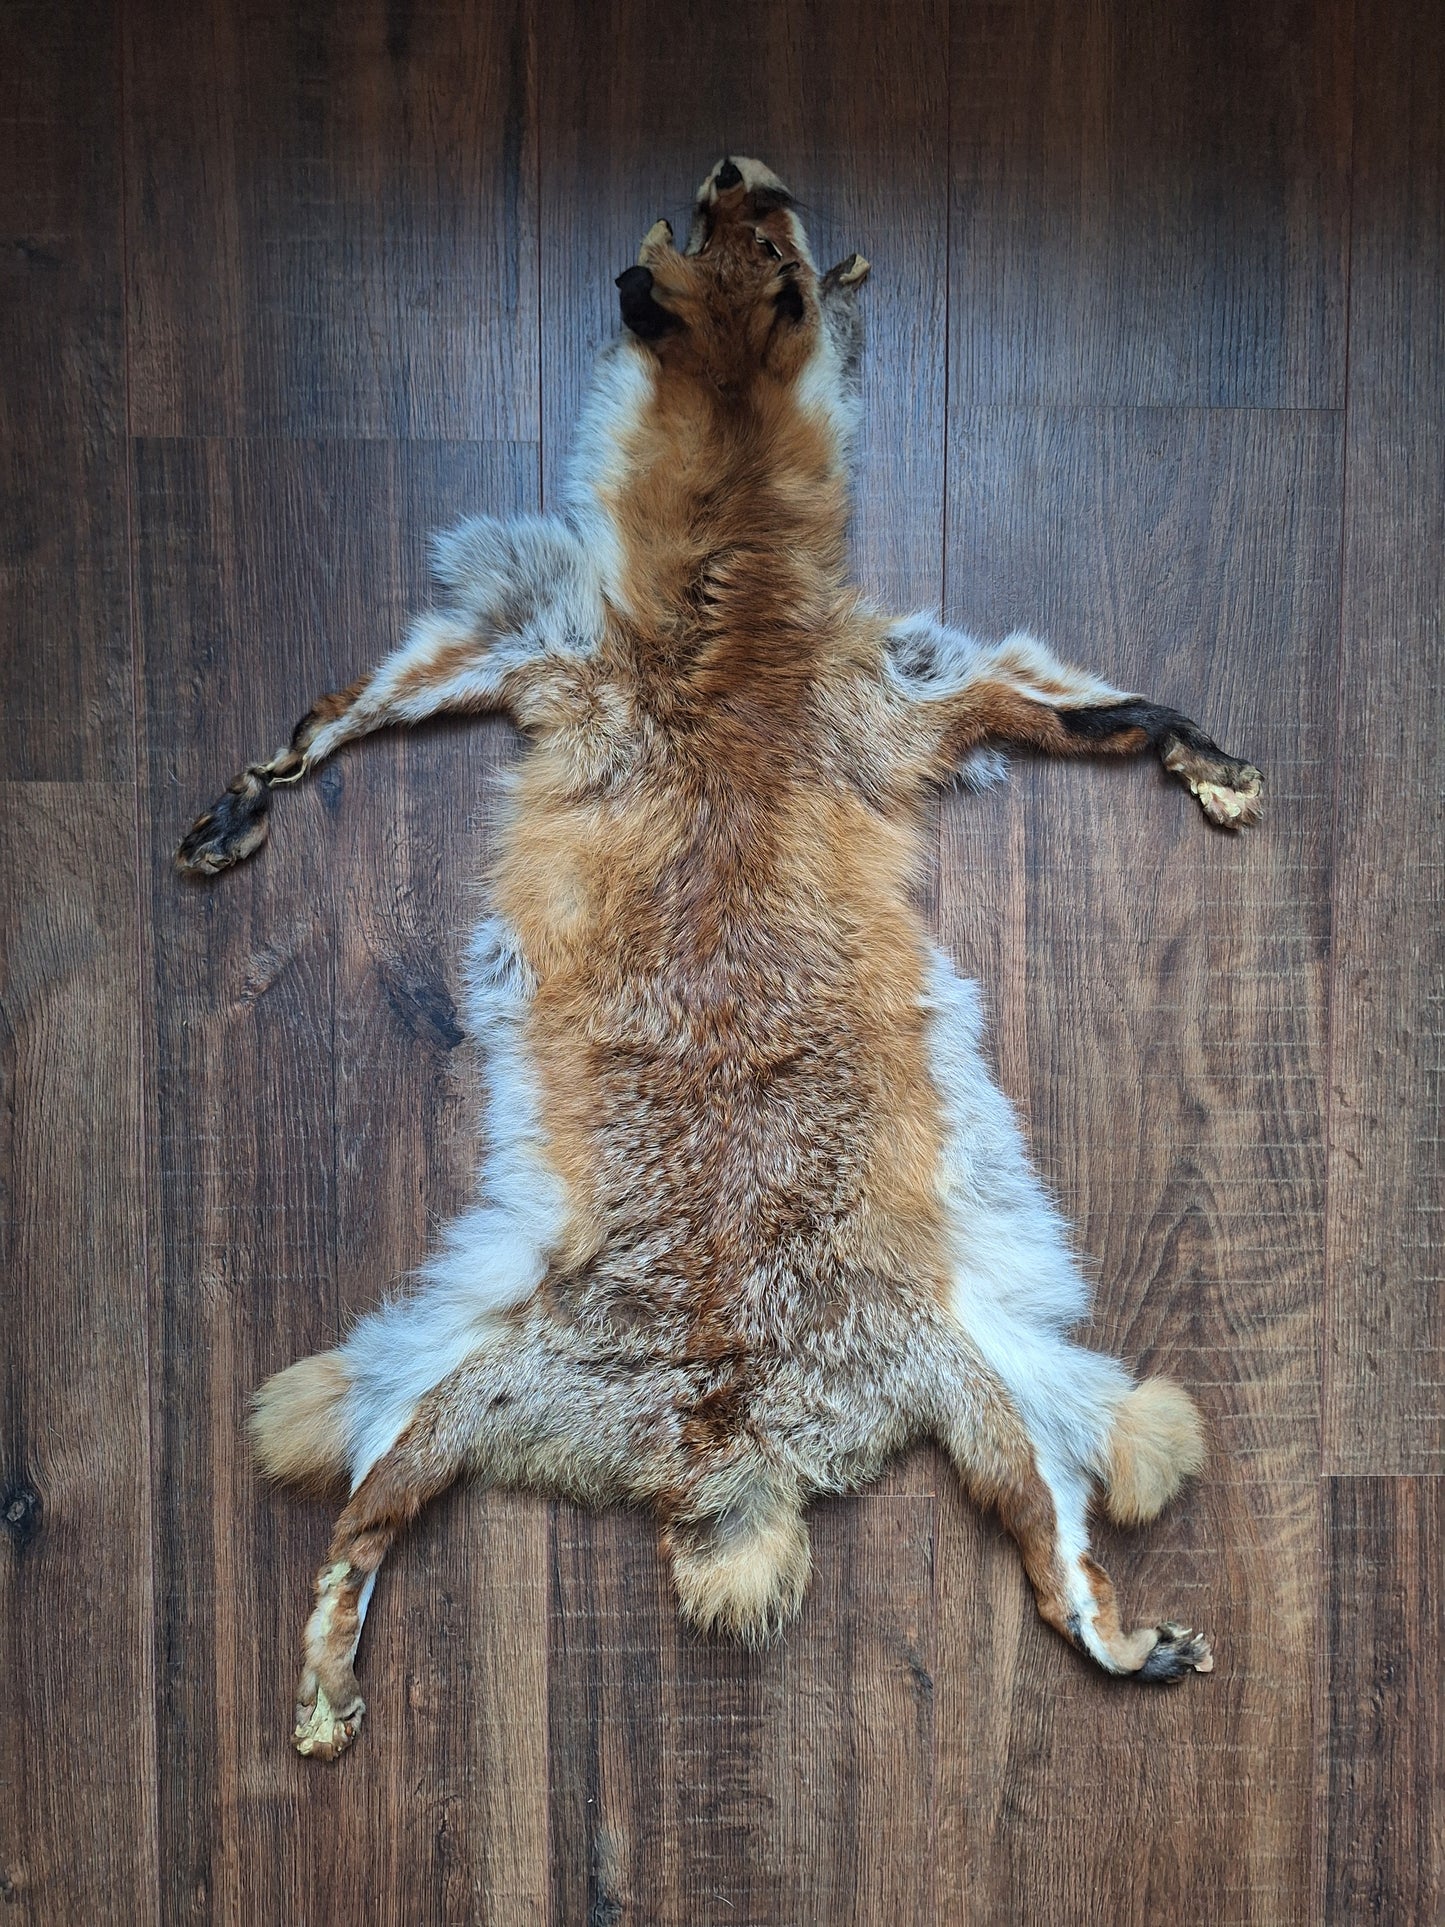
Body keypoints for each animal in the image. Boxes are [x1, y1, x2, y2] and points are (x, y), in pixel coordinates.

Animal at [178, 156, 1262, 1761]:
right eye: (730, 234)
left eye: (777, 247)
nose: (745, 166)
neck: (728, 626)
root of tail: (726, 1437)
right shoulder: (543, 656)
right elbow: (332, 716)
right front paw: (243, 802)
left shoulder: (901, 701)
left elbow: (1117, 713)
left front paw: (1213, 769)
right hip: (453, 1397)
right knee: (357, 1532)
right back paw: (323, 1685)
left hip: (986, 1410)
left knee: (1059, 1574)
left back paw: (1129, 1643)